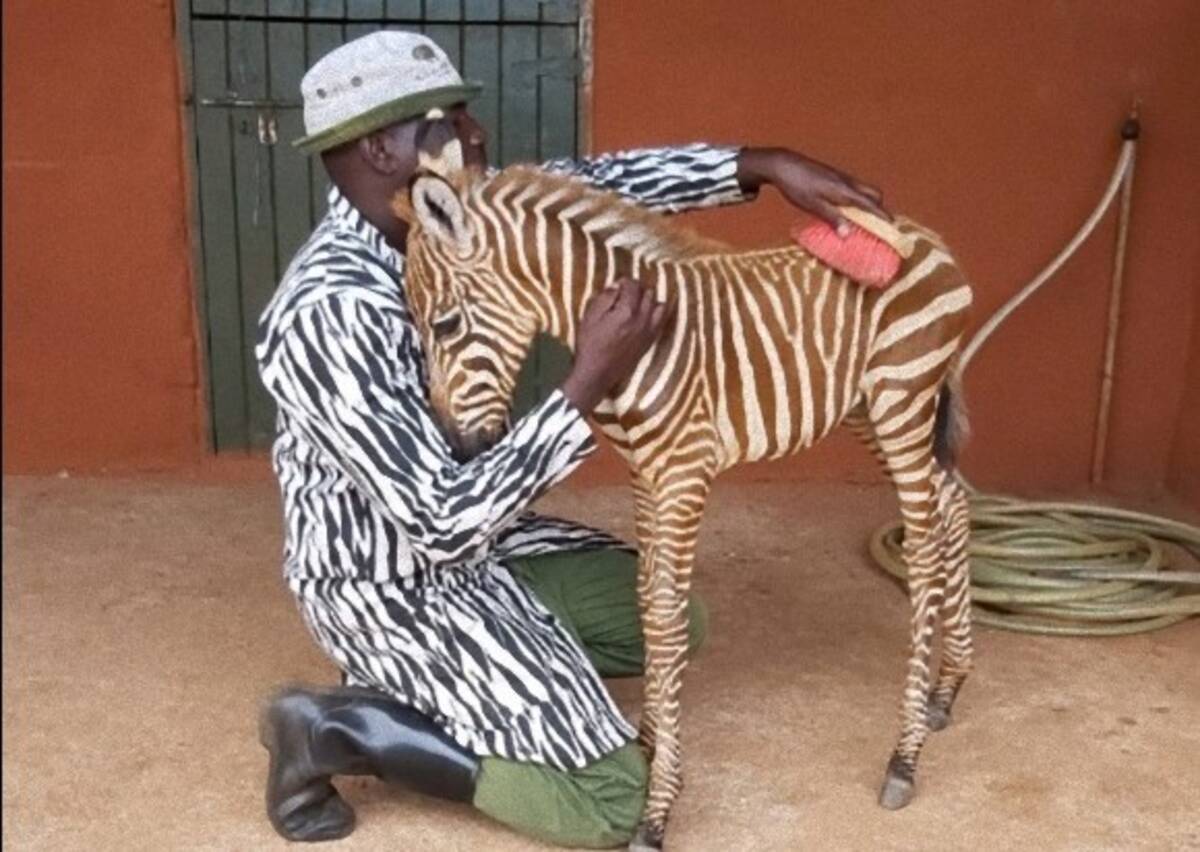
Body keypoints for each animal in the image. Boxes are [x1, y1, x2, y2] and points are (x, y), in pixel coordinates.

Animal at [393, 163, 974, 849]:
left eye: (446, 325)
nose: (458, 450)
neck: (640, 337)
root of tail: (926, 236)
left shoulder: (683, 472)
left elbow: (668, 621)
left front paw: (658, 807)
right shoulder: (647, 474)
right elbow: (648, 603)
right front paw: (648, 743)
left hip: (901, 400)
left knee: (926, 550)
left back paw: (904, 756)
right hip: (869, 411)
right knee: (954, 503)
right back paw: (948, 686)